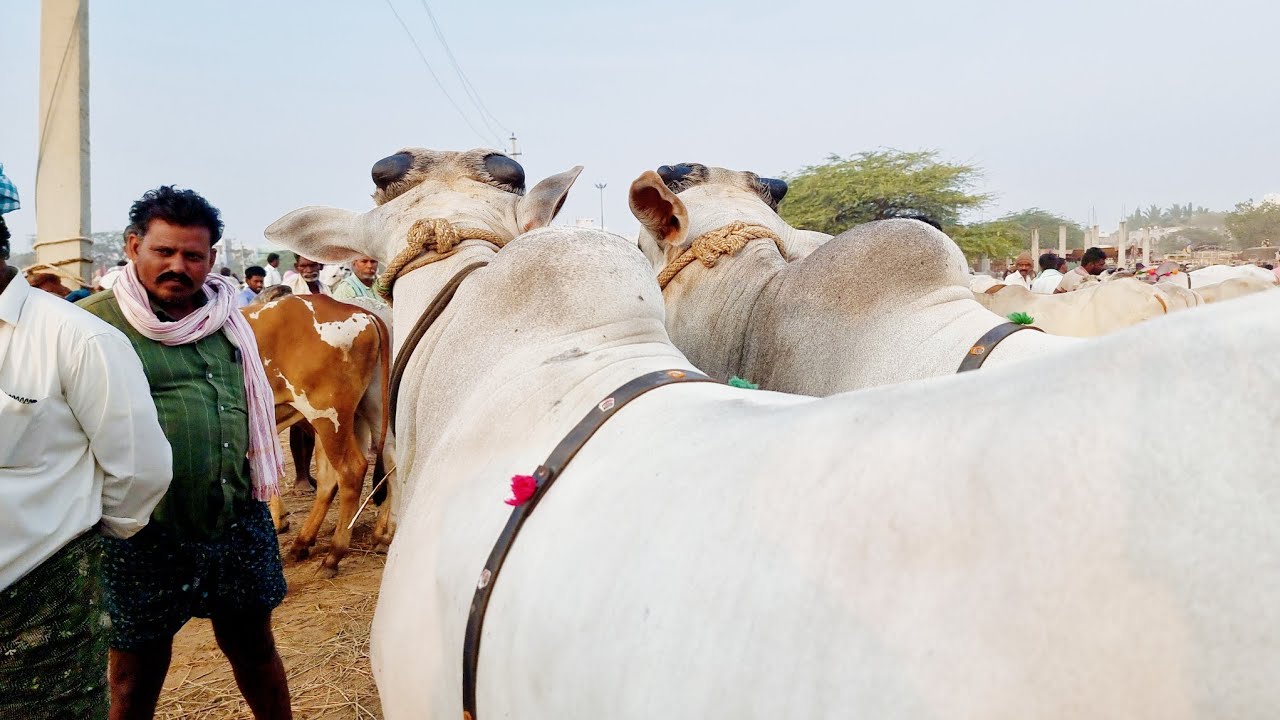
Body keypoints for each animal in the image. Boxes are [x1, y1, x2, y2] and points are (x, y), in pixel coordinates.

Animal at [243, 294, 394, 576]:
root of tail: (362, 313)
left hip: (328, 416)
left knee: (350, 471)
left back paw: (333, 556)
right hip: (372, 408)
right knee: (388, 460)